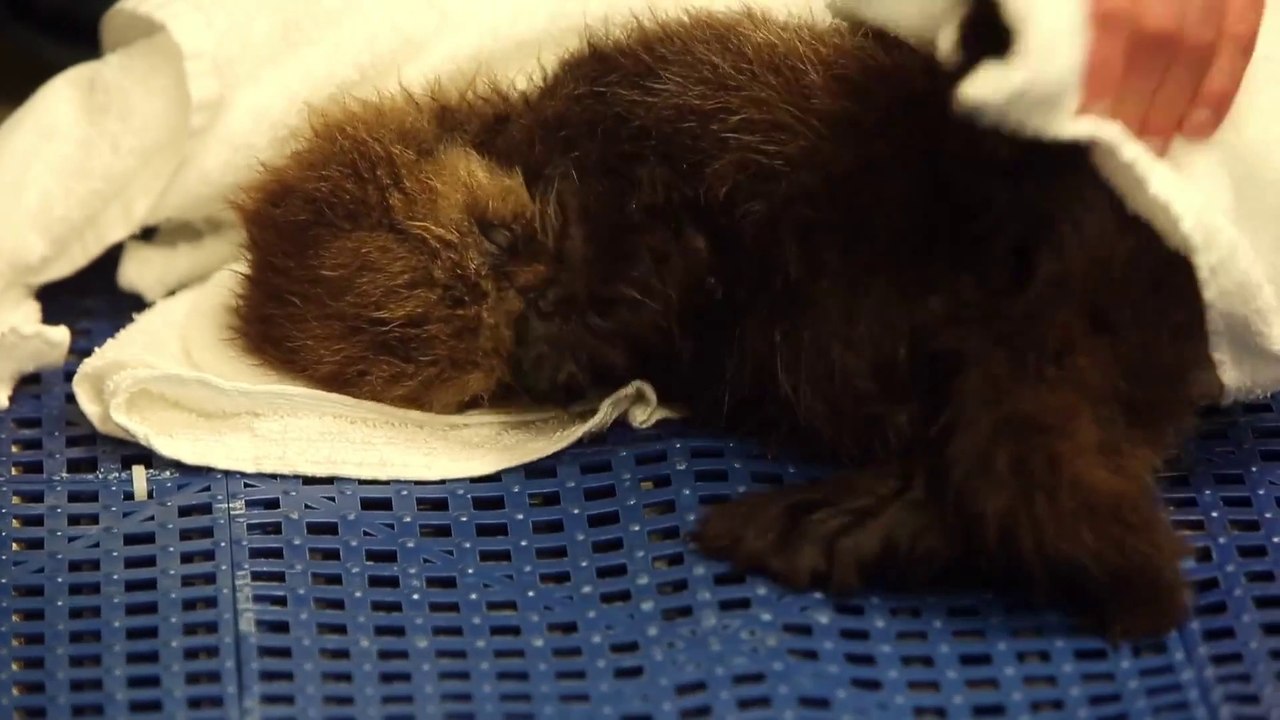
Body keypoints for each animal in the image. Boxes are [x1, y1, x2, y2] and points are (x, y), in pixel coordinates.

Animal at [231, 5, 1221, 640]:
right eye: (482, 375)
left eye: (499, 234)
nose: (543, 299)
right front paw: (574, 338)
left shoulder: (630, 101)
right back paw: (833, 530)